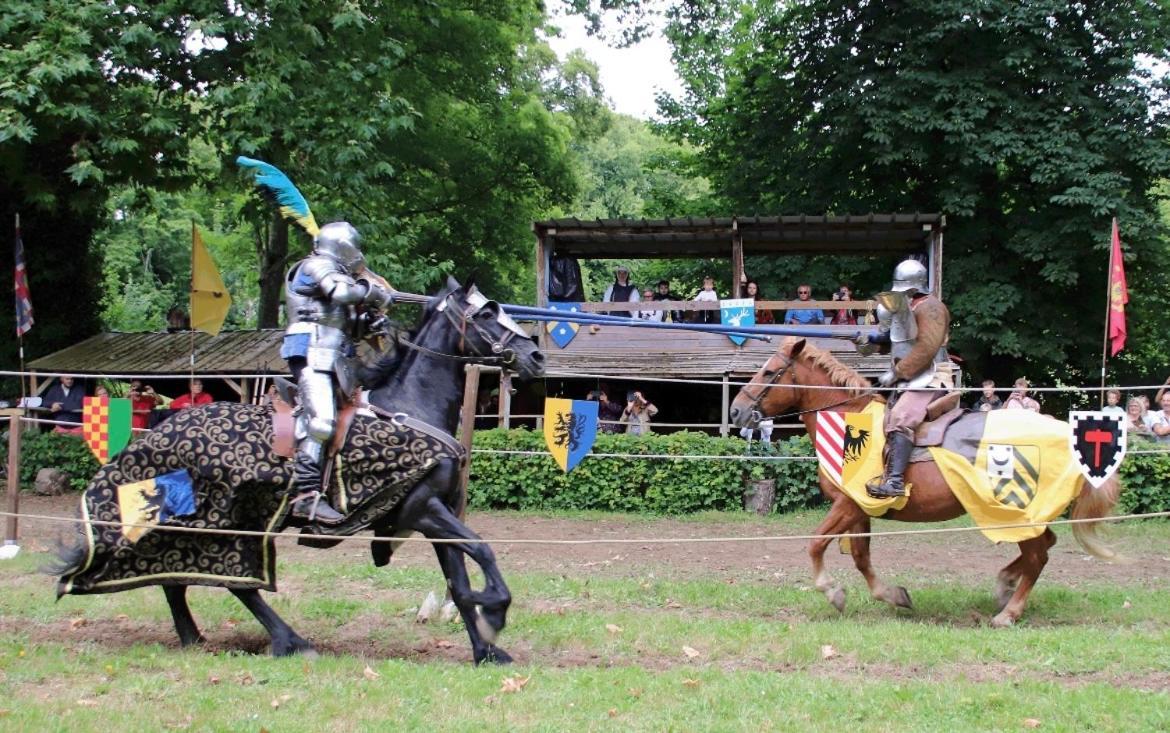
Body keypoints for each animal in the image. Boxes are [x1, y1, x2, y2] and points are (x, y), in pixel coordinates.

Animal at [53, 275, 542, 660]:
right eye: (488, 314)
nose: (535, 356)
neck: (409, 408)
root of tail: (158, 433)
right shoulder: (422, 510)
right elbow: (482, 549)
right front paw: (494, 610)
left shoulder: (433, 513)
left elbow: (459, 581)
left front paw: (486, 649)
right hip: (228, 522)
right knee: (238, 582)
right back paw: (291, 641)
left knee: (179, 575)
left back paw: (194, 637)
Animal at [725, 339, 1118, 622]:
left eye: (770, 371)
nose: (736, 411)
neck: (849, 421)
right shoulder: (859, 510)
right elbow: (861, 558)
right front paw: (893, 595)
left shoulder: (847, 505)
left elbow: (815, 543)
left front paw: (832, 591)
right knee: (1044, 546)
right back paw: (1005, 586)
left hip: (1015, 512)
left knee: (1038, 555)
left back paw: (1008, 612)